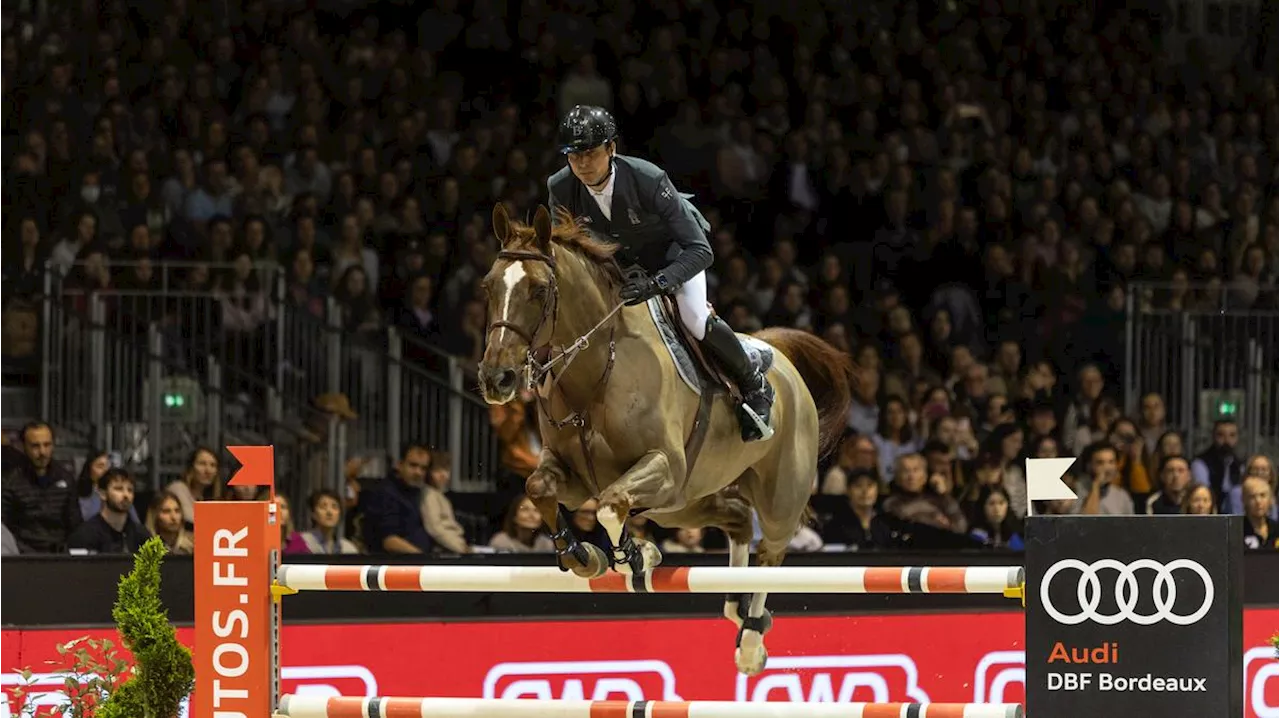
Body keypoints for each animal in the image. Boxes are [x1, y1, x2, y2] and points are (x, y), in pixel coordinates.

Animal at [476, 204, 855, 675]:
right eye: (488, 286)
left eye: (540, 290)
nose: (497, 379)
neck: (598, 369)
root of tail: (778, 356)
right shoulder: (575, 477)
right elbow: (539, 487)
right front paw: (583, 556)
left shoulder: (664, 468)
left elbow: (611, 505)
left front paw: (635, 557)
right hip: (682, 504)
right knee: (735, 519)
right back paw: (736, 605)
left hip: (771, 496)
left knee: (771, 550)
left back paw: (751, 640)